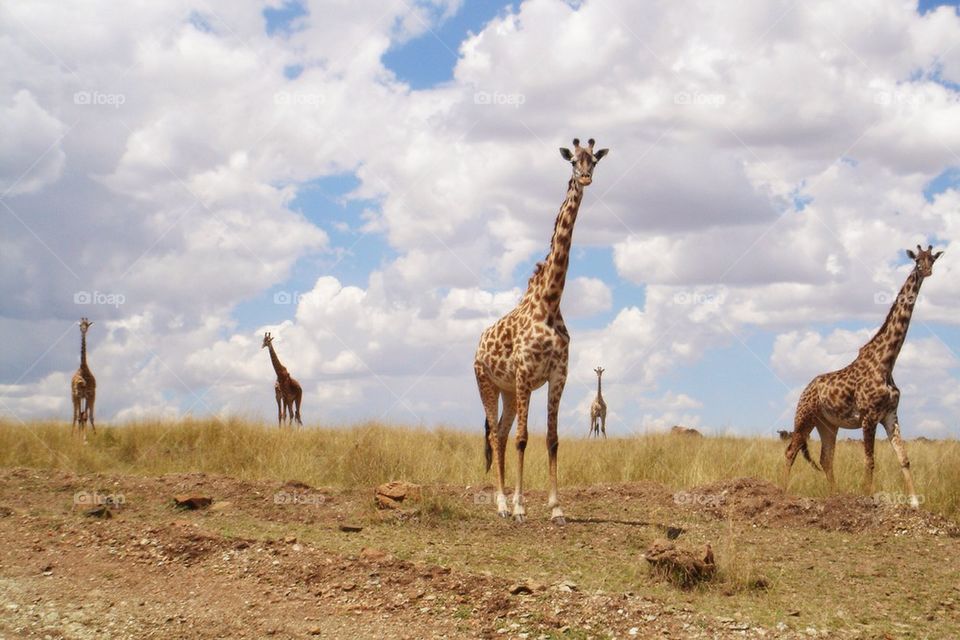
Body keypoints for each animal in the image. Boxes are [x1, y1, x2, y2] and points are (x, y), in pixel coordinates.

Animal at [474, 137, 609, 524]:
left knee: (502, 434)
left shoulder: (557, 375)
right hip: (487, 383)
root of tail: (477, 345)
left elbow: (551, 439)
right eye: (572, 162)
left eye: (594, 160)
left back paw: (505, 501)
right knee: (496, 436)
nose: (585, 178)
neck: (549, 302)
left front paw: (556, 508)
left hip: (507, 391)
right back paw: (502, 505)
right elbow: (524, 439)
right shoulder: (524, 373)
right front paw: (520, 507)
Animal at [783, 245, 943, 508]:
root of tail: (805, 389)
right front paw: (868, 497)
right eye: (917, 260)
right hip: (804, 417)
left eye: (932, 259)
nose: (926, 270)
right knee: (791, 451)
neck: (886, 363)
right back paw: (782, 491)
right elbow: (870, 460)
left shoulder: (890, 414)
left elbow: (904, 458)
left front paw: (915, 503)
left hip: (828, 424)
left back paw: (835, 495)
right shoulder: (869, 416)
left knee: (826, 458)